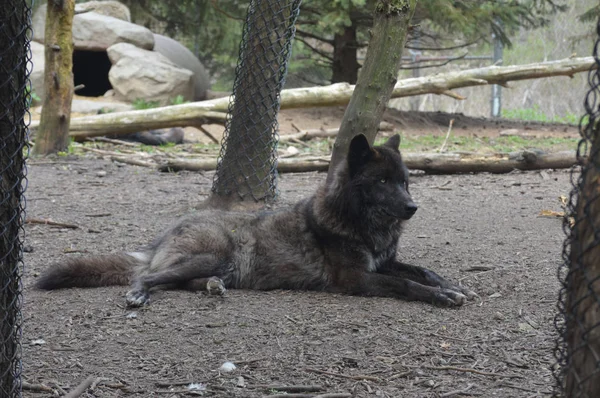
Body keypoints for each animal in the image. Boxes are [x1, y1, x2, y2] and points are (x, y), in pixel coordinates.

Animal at [36, 134, 478, 308]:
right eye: (382, 182)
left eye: (405, 181)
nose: (412, 208)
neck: (364, 226)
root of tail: (161, 237)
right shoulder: (357, 279)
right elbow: (406, 284)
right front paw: (442, 296)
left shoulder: (385, 262)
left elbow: (422, 270)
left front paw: (455, 286)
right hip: (213, 255)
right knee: (147, 277)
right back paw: (139, 295)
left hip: (223, 266)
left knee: (179, 282)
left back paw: (212, 288)